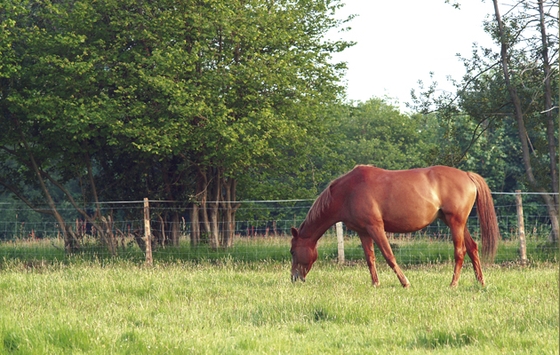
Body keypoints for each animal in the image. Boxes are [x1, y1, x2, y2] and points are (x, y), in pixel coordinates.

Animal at [290, 165, 500, 288]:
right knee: (472, 248)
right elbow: (370, 259)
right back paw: (481, 282)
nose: (294, 278)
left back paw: (453, 284)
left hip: (456, 223)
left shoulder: (376, 228)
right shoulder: (363, 232)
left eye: (292, 251)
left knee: (460, 252)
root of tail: (467, 175)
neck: (348, 191)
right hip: (455, 223)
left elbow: (389, 255)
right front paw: (375, 284)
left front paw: (405, 282)